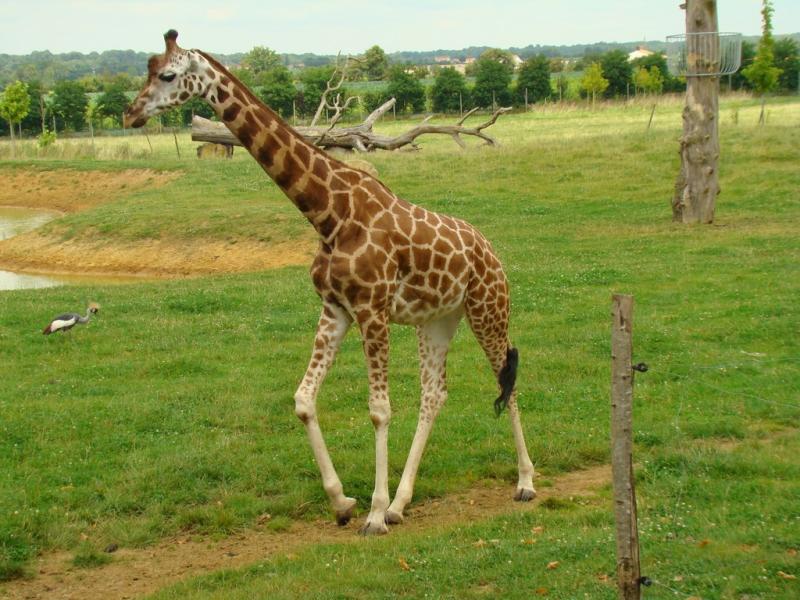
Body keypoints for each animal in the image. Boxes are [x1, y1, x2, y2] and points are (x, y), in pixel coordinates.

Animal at [124, 30, 536, 535]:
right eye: (146, 69)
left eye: (167, 74)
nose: (130, 113)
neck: (328, 215)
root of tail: (491, 251)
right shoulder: (335, 308)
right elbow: (304, 399)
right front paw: (343, 502)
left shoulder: (372, 310)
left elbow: (379, 410)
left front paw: (374, 514)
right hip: (438, 319)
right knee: (434, 393)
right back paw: (402, 503)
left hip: (488, 308)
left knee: (506, 379)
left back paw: (524, 483)